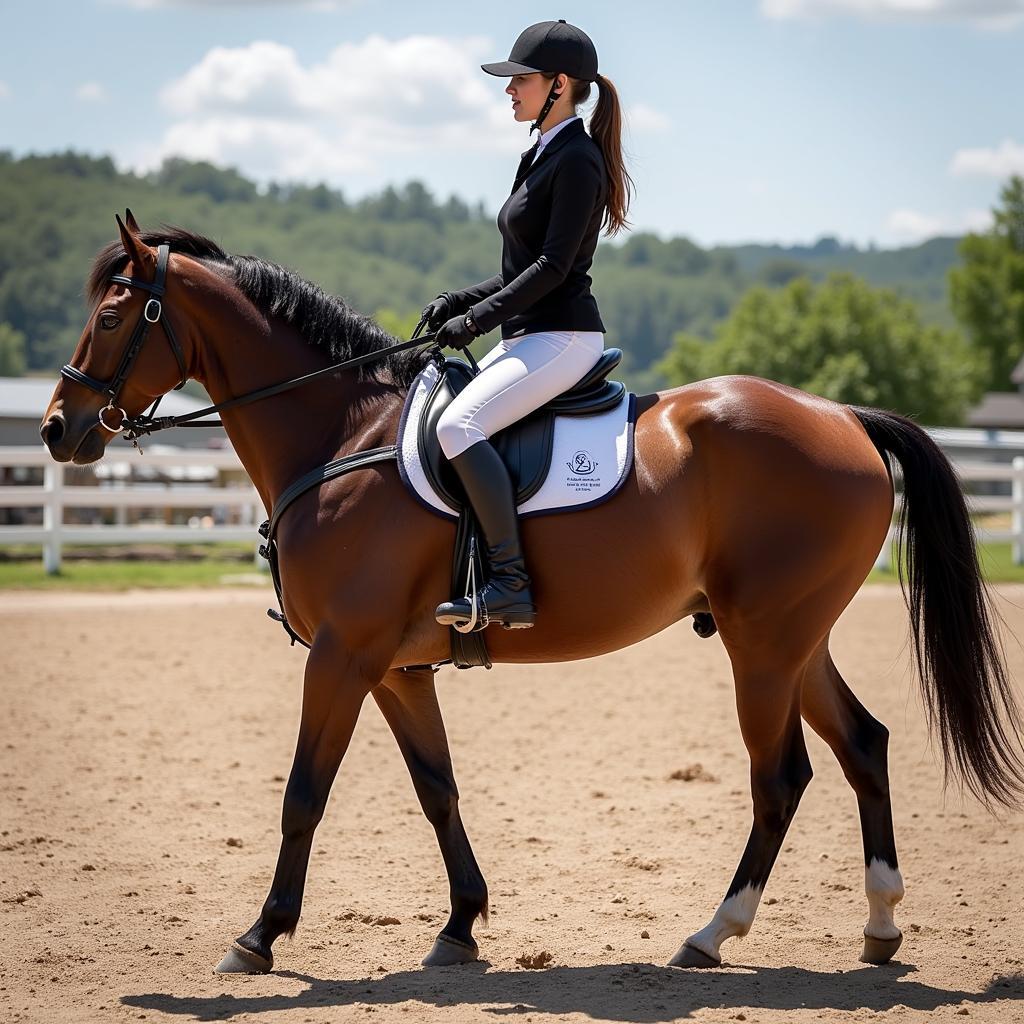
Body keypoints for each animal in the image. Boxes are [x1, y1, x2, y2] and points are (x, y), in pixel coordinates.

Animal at [39, 216, 1024, 974]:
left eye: (114, 314)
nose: (57, 429)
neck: (341, 434)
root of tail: (843, 416)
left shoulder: (343, 655)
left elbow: (304, 793)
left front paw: (259, 936)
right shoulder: (396, 670)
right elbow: (438, 790)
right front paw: (459, 927)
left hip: (764, 643)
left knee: (781, 777)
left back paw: (712, 935)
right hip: (793, 639)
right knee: (863, 744)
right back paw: (880, 926)